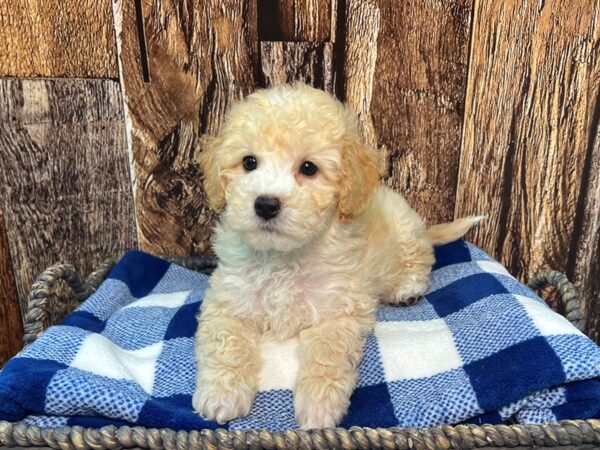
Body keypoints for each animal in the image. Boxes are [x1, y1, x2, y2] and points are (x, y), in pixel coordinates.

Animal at [192, 83, 478, 428]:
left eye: (308, 168)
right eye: (249, 162)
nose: (265, 204)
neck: (282, 258)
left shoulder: (338, 310)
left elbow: (326, 352)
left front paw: (319, 404)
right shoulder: (228, 302)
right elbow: (226, 342)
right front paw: (222, 393)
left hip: (405, 232)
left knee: (420, 260)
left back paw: (407, 289)